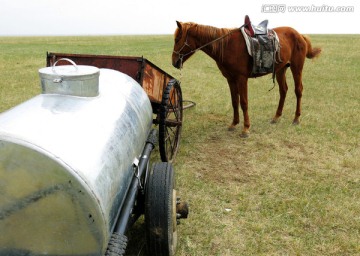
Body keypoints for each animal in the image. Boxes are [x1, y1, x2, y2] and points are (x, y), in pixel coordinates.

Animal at [172, 20, 320, 137]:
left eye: (177, 39)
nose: (174, 62)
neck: (227, 46)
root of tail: (299, 34)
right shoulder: (230, 79)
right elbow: (234, 101)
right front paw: (234, 124)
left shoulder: (241, 78)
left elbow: (243, 102)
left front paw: (246, 128)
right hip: (280, 69)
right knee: (283, 90)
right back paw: (276, 117)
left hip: (296, 68)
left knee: (298, 90)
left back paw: (296, 118)